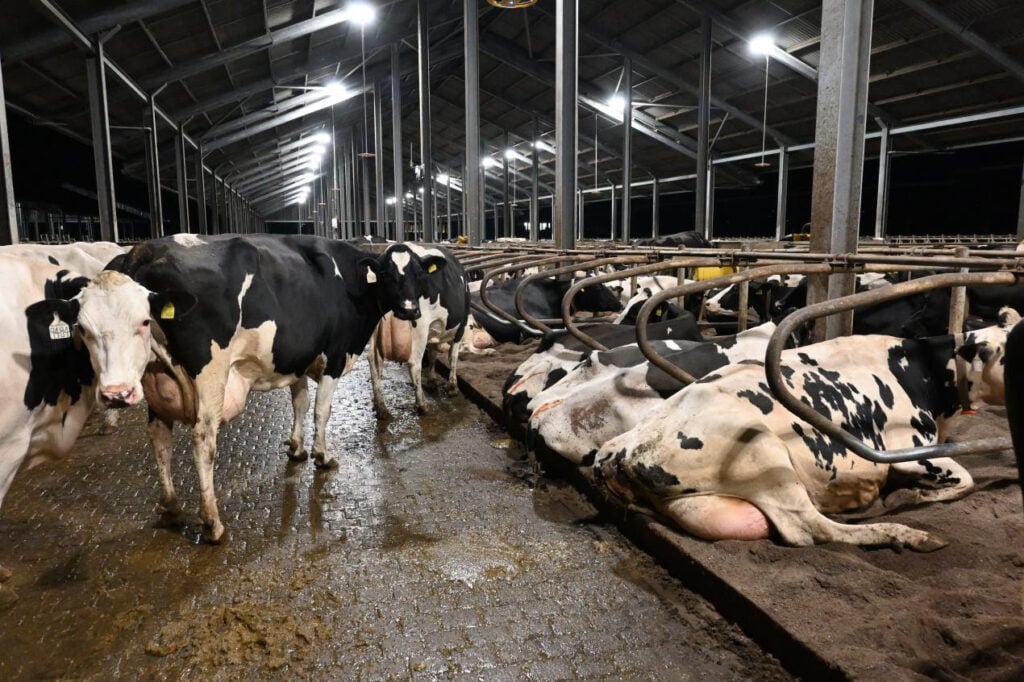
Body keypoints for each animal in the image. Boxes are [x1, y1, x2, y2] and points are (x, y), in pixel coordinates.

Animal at [104, 233, 452, 540]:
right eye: (387, 275)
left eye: (419, 274)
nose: (410, 309)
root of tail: (144, 250)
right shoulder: (335, 355)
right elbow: (322, 411)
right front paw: (322, 455)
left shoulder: (296, 356)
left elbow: (300, 402)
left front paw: (296, 448)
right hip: (210, 375)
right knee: (203, 440)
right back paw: (213, 522)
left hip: (154, 378)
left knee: (160, 437)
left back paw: (171, 507)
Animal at [368, 244, 471, 413]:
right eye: (385, 274)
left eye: (418, 274)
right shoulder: (460, 327)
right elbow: (453, 356)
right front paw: (452, 387)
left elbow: (433, 354)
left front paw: (432, 380)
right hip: (419, 327)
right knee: (414, 363)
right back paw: (422, 404)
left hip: (374, 328)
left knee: (373, 360)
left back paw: (380, 406)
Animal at [589, 311, 1019, 548]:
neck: (924, 371)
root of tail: (627, 448)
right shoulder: (907, 449)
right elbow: (964, 479)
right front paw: (916, 495)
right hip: (765, 454)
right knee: (810, 529)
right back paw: (908, 535)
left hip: (695, 499)